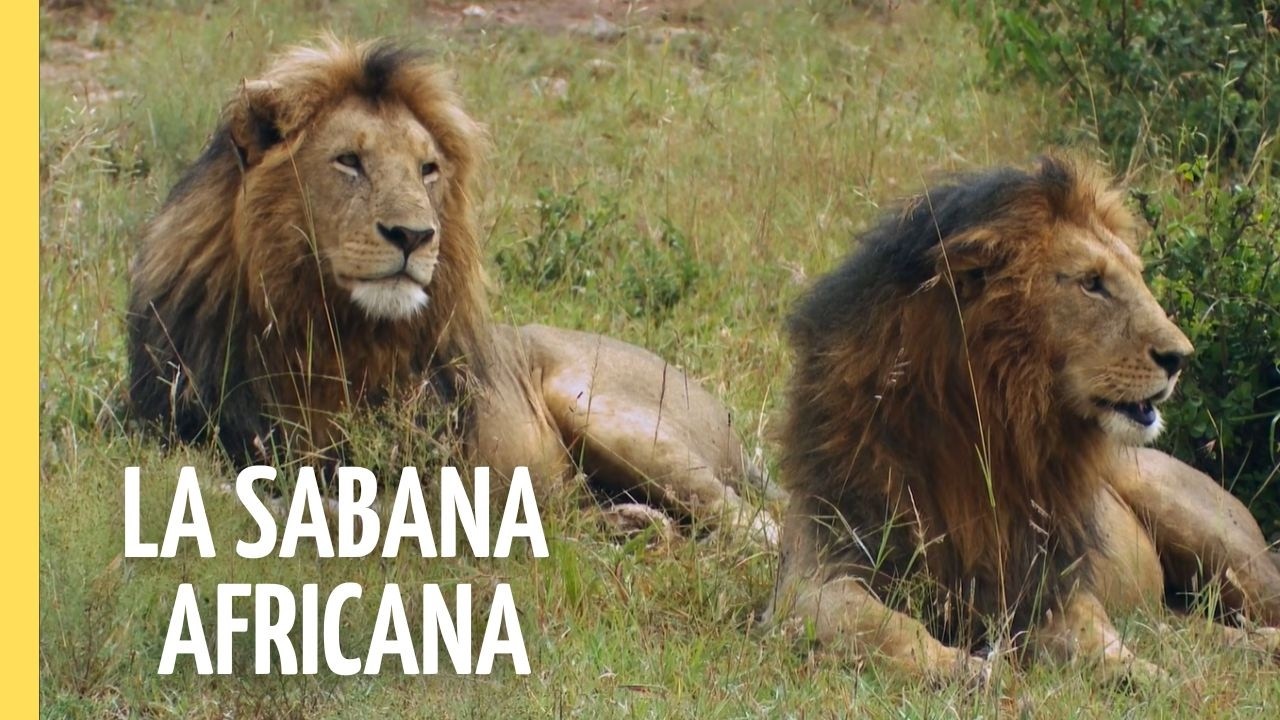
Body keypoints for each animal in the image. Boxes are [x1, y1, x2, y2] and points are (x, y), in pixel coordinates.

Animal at [126, 37, 776, 544]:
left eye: (427, 169)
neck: (321, 330)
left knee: (756, 524)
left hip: (607, 411)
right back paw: (629, 525)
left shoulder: (433, 469)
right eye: (349, 160)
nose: (414, 236)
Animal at [766, 157, 1280, 683]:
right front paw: (962, 669)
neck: (982, 429)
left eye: (1138, 276)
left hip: (1219, 541)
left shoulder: (1049, 583)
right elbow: (883, 625)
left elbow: (1098, 641)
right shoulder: (815, 573)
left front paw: (1151, 679)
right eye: (1092, 283)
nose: (1180, 358)